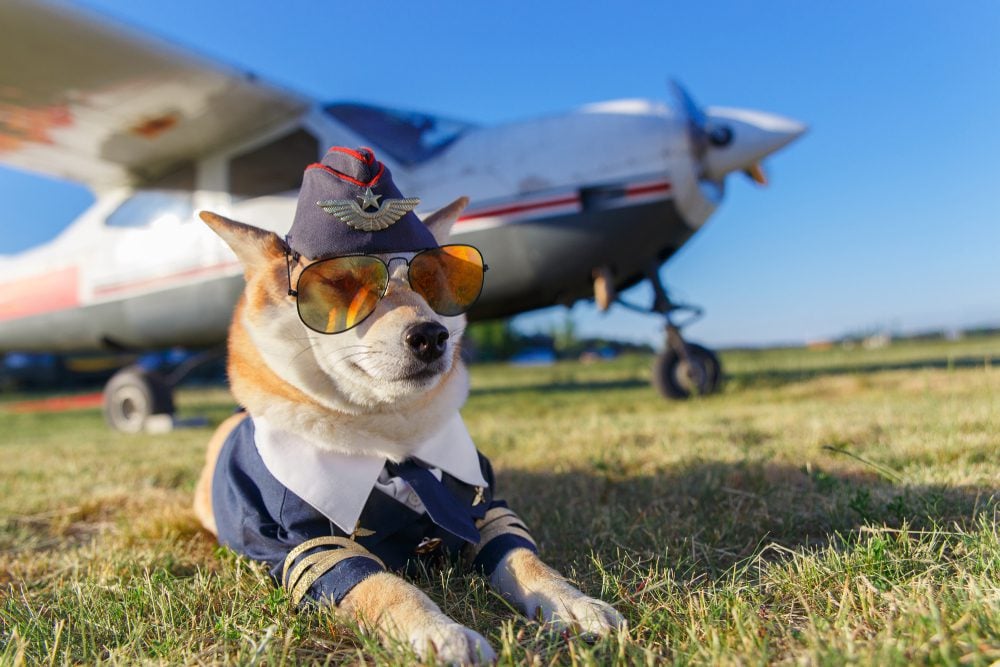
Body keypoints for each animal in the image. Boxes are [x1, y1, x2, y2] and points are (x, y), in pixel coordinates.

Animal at [191, 149, 620, 664]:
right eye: (341, 281)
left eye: (436, 277)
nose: (431, 335)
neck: (396, 444)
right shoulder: (309, 544)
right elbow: (386, 586)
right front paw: (441, 632)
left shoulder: (486, 508)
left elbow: (525, 558)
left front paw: (573, 601)